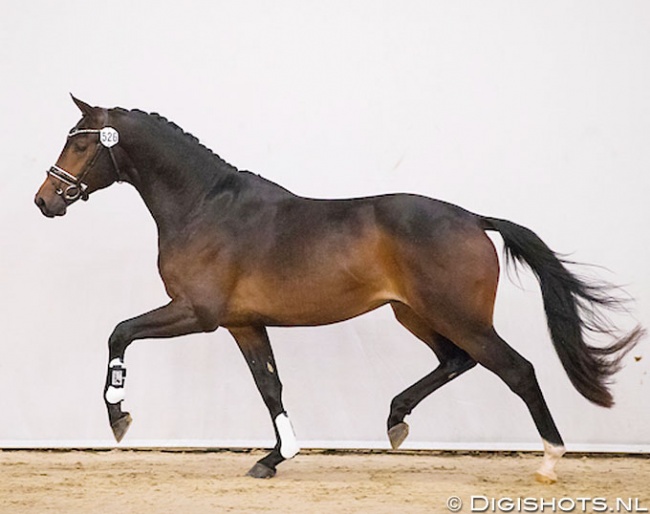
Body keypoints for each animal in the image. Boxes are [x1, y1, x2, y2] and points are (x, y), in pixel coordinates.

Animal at [36, 95, 644, 480]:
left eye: (81, 146)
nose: (44, 200)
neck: (206, 206)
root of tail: (473, 219)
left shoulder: (197, 313)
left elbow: (119, 332)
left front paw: (118, 418)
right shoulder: (242, 323)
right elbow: (270, 386)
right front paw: (275, 458)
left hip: (456, 316)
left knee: (517, 370)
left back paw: (549, 461)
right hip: (414, 314)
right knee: (456, 361)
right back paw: (396, 420)